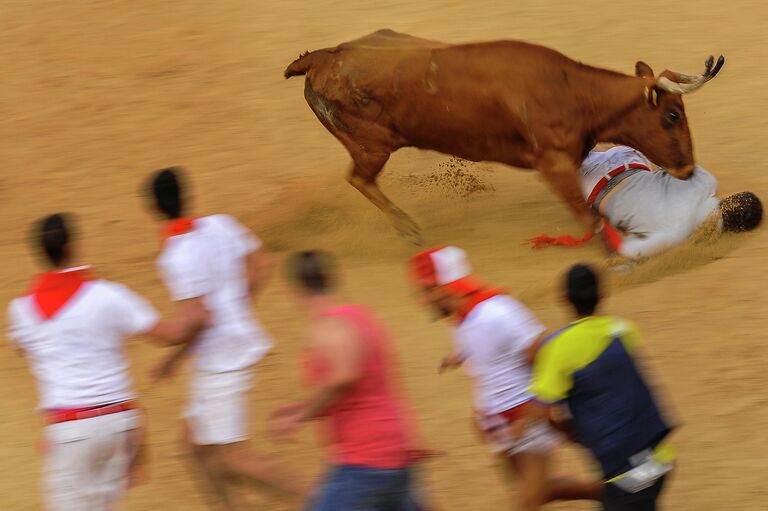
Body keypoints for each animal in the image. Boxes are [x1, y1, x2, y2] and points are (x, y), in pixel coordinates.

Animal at [284, 29, 720, 245]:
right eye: (671, 115)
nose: (687, 168)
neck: (573, 93)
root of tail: (324, 56)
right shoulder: (553, 163)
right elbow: (588, 220)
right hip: (372, 147)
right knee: (359, 178)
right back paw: (409, 229)